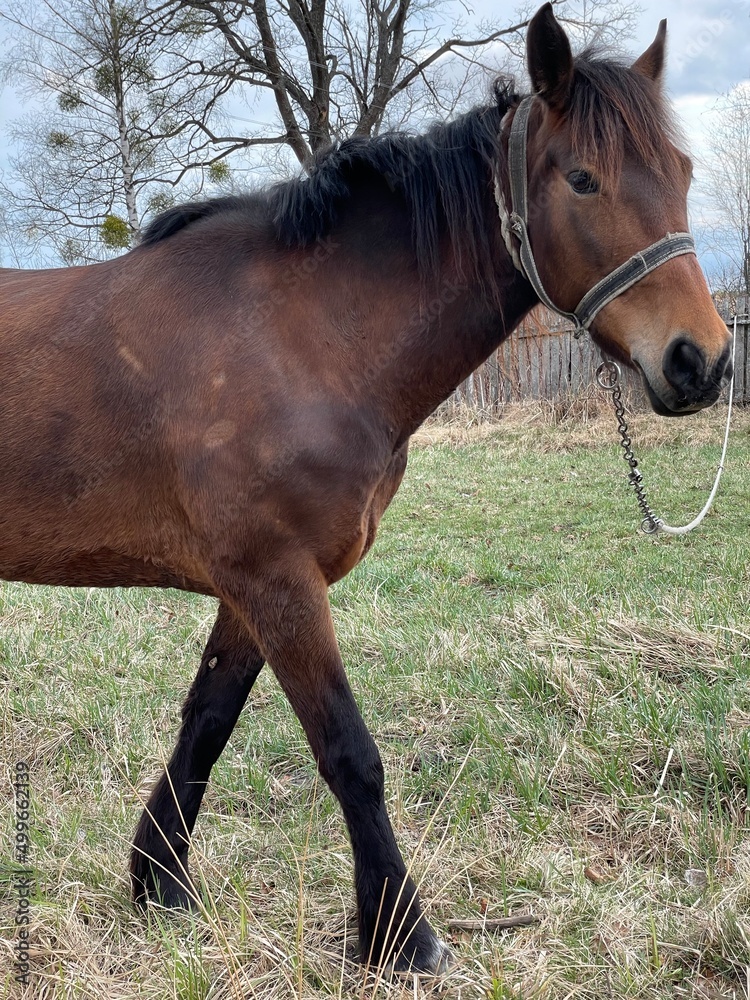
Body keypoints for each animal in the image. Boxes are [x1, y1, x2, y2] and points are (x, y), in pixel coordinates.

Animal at [0, 2, 732, 976]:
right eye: (583, 179)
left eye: (682, 174)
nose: (701, 361)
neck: (299, 335)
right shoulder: (277, 579)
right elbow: (350, 754)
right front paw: (401, 934)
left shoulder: (254, 588)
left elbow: (207, 722)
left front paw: (160, 882)